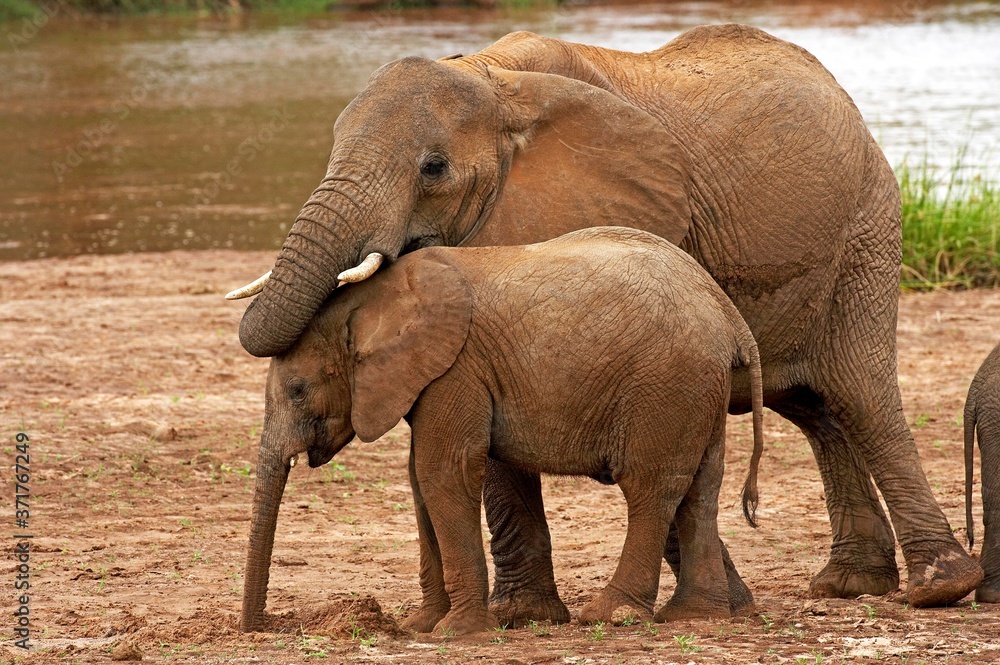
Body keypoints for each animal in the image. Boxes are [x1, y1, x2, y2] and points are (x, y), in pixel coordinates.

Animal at [239, 226, 766, 634]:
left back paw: (609, 615)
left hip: (666, 384)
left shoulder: (457, 366)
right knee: (700, 489)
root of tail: (730, 318)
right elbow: (419, 480)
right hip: (697, 389)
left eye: (298, 391)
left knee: (649, 490)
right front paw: (420, 626)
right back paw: (695, 617)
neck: (373, 301)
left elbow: (443, 472)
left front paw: (456, 632)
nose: (260, 628)